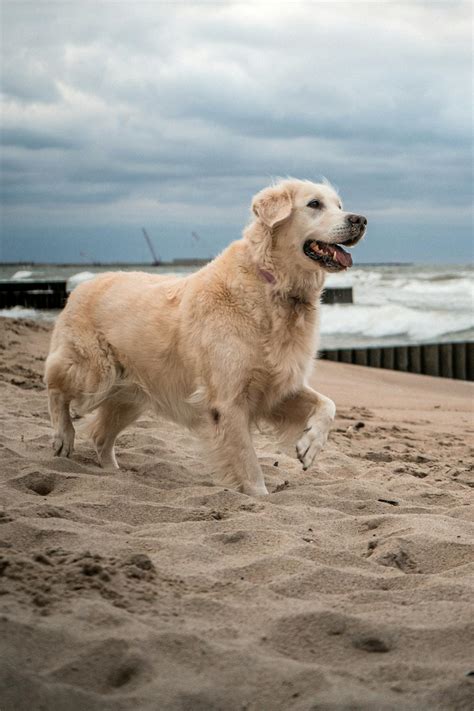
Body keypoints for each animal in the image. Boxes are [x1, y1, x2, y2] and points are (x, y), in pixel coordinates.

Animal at [43, 179, 366, 496]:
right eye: (314, 204)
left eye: (339, 205)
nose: (360, 220)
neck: (273, 287)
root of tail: (80, 286)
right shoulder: (228, 400)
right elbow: (250, 467)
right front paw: (259, 495)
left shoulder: (276, 386)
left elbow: (328, 404)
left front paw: (310, 445)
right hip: (93, 372)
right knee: (55, 383)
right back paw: (63, 437)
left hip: (131, 393)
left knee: (100, 435)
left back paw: (113, 475)